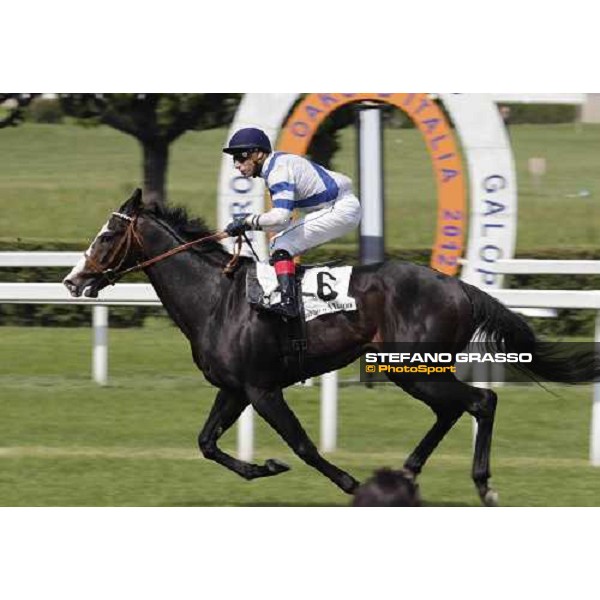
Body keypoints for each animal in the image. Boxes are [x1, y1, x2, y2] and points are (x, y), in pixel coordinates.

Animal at [63, 191, 596, 506]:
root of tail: (458, 286)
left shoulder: (262, 389)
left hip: (412, 365)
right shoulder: (234, 389)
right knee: (453, 410)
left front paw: (351, 484)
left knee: (481, 401)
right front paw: (263, 466)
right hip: (413, 369)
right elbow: (207, 442)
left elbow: (302, 445)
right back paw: (407, 473)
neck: (216, 300)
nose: (73, 280)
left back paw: (482, 484)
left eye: (108, 235)